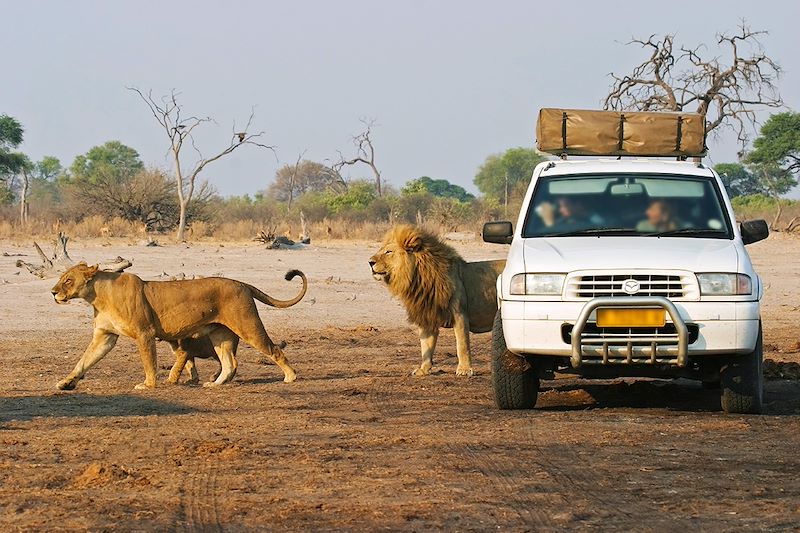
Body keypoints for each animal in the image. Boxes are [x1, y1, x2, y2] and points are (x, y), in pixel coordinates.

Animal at [50, 264, 306, 388]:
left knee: (274, 350)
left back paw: (291, 377)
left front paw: (148, 385)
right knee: (229, 363)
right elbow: (84, 361)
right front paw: (66, 382)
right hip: (220, 336)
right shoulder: (105, 336)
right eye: (61, 279)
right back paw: (215, 384)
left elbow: (149, 363)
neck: (98, 296)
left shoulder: (145, 333)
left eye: (68, 280)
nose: (53, 292)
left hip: (248, 325)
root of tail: (242, 283)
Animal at [370, 227, 506, 376]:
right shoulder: (426, 316)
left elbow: (462, 345)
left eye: (388, 252)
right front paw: (423, 369)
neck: (419, 279)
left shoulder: (460, 315)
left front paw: (464, 369)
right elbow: (426, 346)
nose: (370, 262)